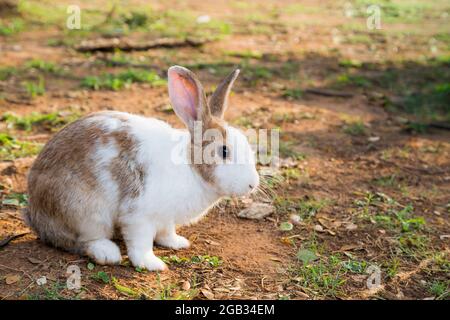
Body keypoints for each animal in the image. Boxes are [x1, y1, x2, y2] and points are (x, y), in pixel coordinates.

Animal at [23, 66, 260, 272]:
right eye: (224, 151)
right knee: (80, 241)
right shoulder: (138, 216)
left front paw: (177, 242)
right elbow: (141, 244)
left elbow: (166, 232)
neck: (190, 167)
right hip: (87, 213)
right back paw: (107, 253)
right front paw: (152, 264)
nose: (252, 184)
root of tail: (36, 215)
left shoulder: (165, 218)